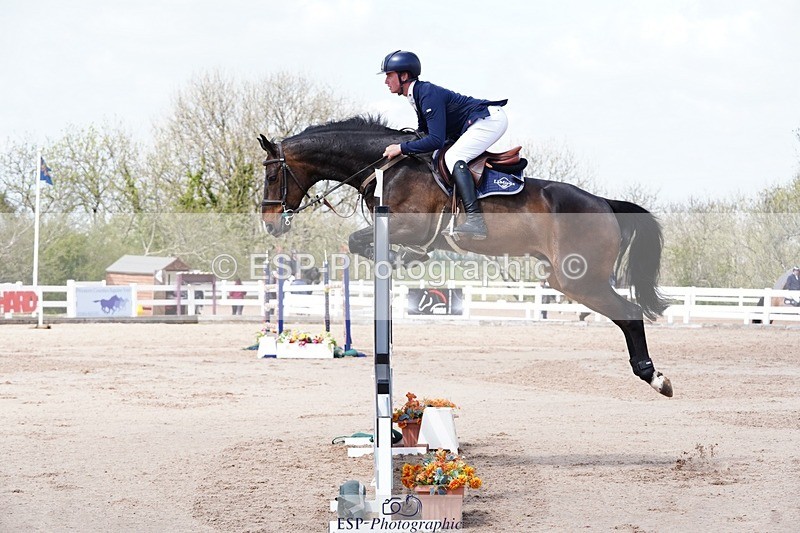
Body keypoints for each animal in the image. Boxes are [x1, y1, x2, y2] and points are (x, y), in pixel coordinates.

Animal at [258, 116, 673, 397]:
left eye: (271, 178)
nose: (270, 225)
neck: (387, 164)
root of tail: (605, 203)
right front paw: (406, 260)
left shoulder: (411, 225)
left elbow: (357, 240)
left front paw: (401, 258)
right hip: (566, 278)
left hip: (579, 279)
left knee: (629, 314)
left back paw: (655, 377)